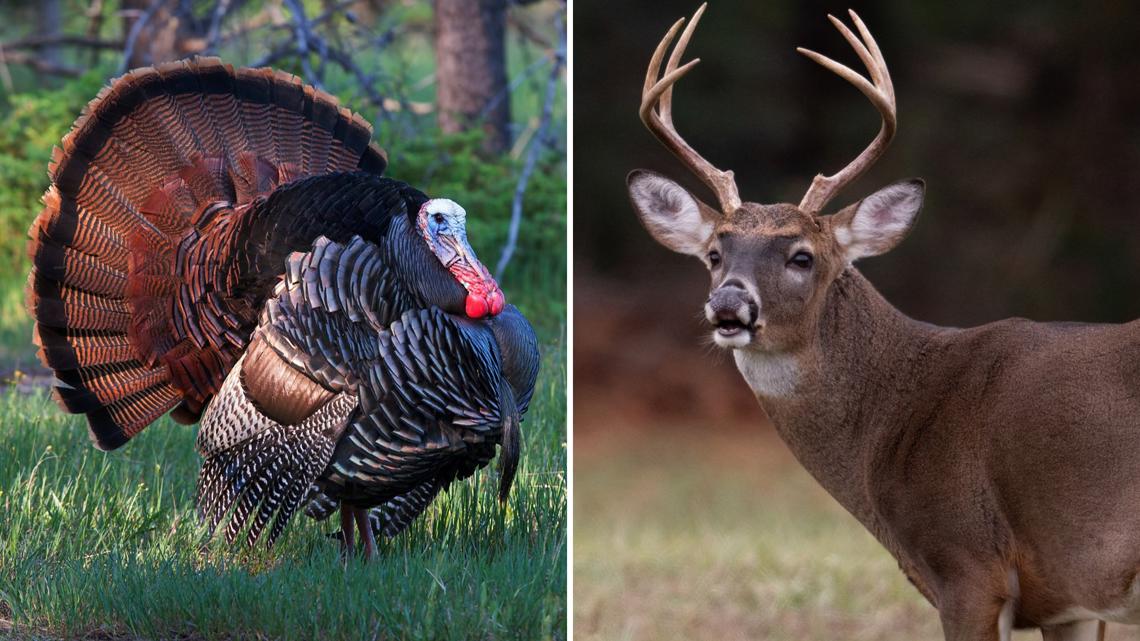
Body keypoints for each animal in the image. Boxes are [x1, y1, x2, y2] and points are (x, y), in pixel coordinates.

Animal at [626, 5, 1140, 641]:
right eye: (715, 254)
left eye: (802, 257)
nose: (728, 305)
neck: (897, 415)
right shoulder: (1071, 601)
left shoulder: (967, 562)